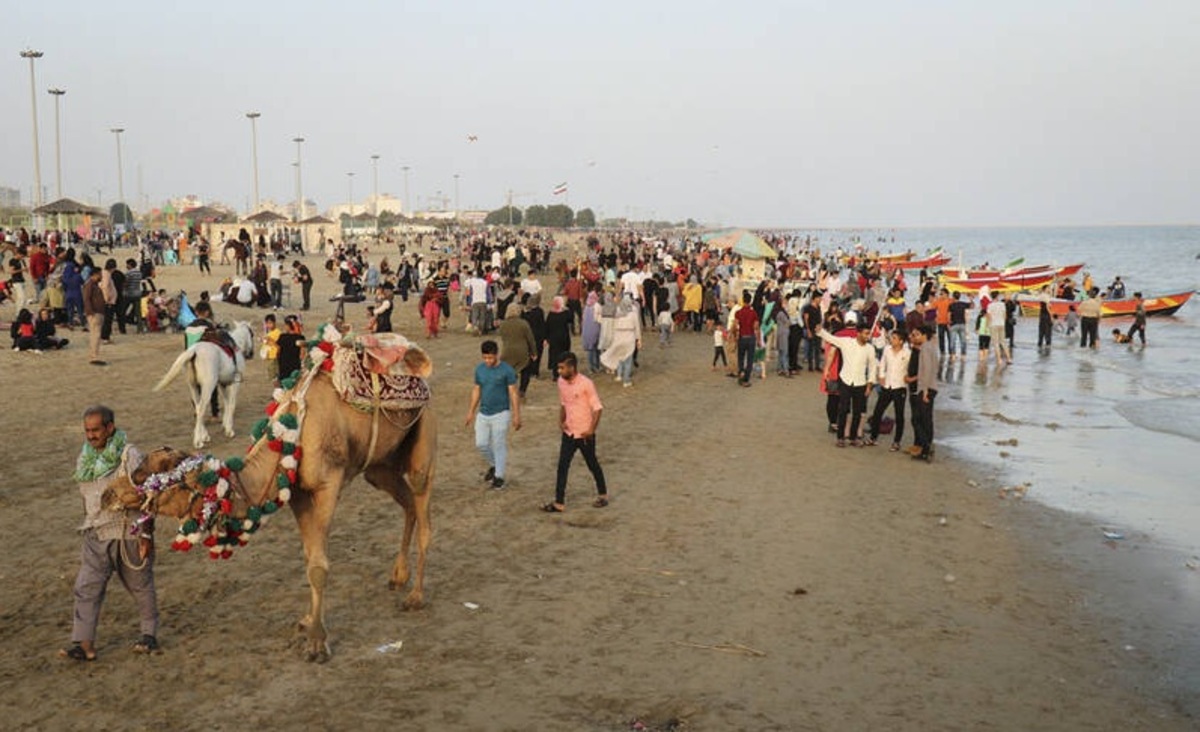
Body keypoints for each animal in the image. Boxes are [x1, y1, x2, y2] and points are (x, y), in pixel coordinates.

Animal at [106, 326, 436, 662]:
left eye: (152, 476)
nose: (109, 492)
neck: (295, 431)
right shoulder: (298, 493)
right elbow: (309, 558)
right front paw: (307, 622)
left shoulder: (327, 485)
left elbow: (319, 565)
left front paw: (317, 643)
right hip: (379, 465)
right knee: (407, 503)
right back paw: (398, 576)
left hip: (423, 435)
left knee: (423, 507)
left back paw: (416, 595)